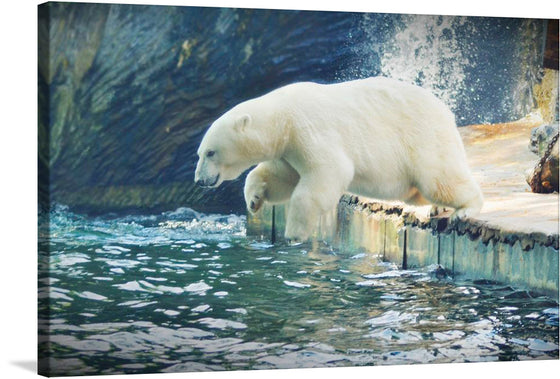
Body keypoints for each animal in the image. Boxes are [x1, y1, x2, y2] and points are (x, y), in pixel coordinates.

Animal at [195, 77, 484, 243]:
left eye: (210, 152)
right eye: (200, 153)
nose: (199, 180)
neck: (282, 118)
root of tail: (445, 110)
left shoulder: (309, 129)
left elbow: (327, 173)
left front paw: (294, 234)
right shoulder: (289, 147)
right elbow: (281, 177)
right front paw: (254, 199)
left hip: (421, 138)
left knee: (439, 178)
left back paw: (464, 209)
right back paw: (435, 208)